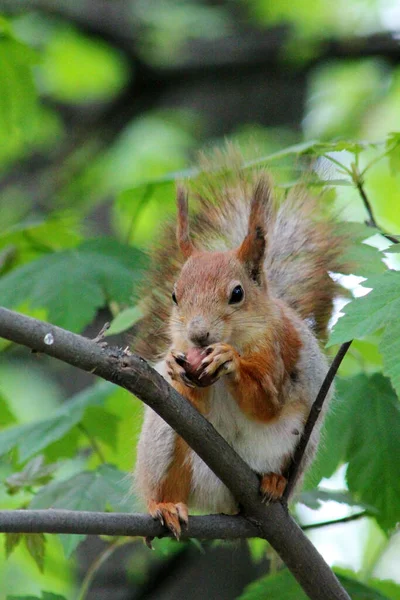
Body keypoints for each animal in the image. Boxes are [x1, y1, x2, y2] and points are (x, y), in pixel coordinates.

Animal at [133, 156, 348, 540]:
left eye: (237, 293)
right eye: (174, 295)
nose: (198, 335)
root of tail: (219, 500)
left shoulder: (276, 349)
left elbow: (267, 402)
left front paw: (228, 361)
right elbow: (194, 409)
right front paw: (175, 368)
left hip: (299, 444)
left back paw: (275, 482)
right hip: (163, 443)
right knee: (166, 482)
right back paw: (166, 506)